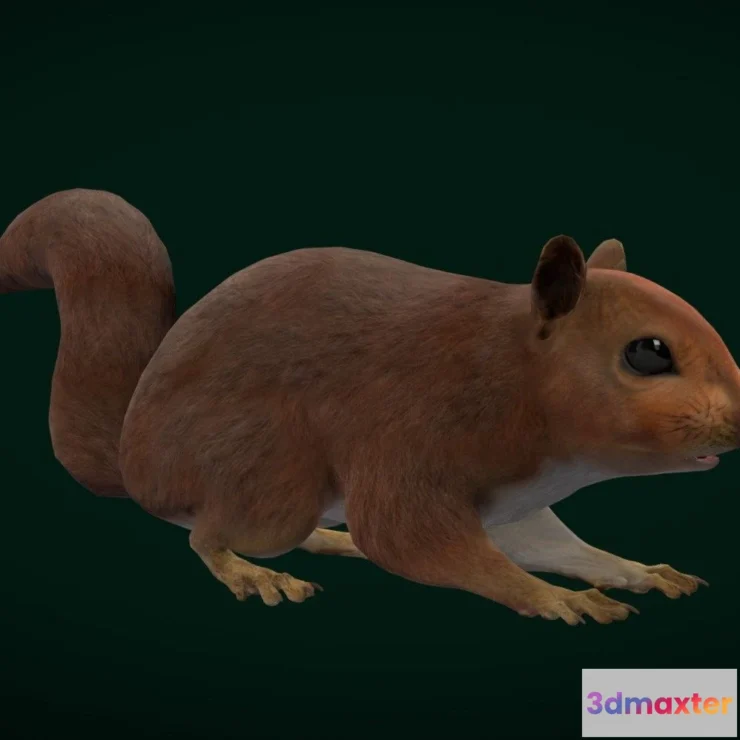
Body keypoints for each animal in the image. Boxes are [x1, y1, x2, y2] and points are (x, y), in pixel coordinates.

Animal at [2, 189, 735, 625]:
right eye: (647, 353)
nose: (736, 420)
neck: (511, 375)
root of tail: (135, 460)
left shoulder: (516, 505)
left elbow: (553, 544)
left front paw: (637, 572)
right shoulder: (410, 431)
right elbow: (413, 539)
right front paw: (556, 597)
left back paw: (334, 541)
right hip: (269, 474)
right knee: (206, 534)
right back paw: (255, 573)